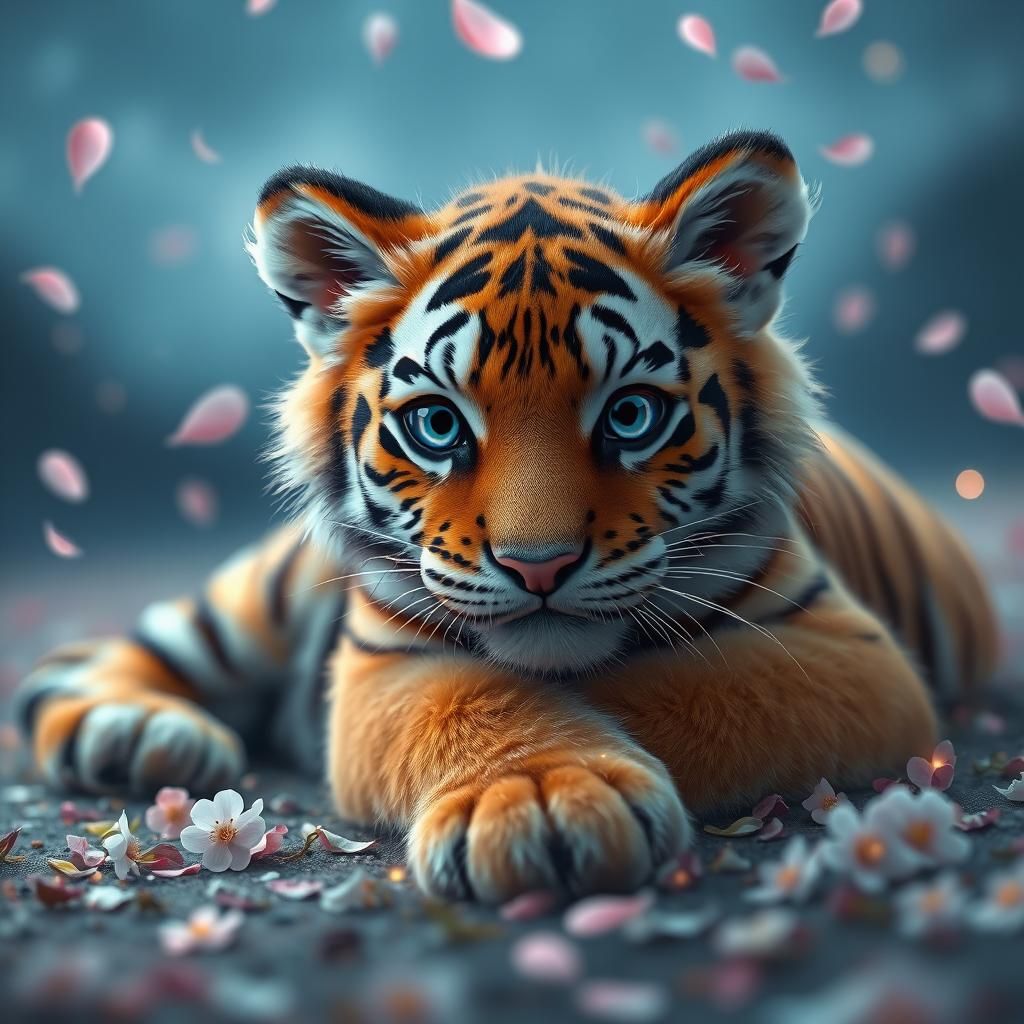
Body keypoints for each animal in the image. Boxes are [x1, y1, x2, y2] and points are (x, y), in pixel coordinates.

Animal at [15, 130, 998, 902]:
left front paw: (562, 776)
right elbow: (471, 693)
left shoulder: (849, 654)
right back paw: (144, 733)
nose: (539, 567)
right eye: (438, 425)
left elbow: (692, 683)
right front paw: (537, 796)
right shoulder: (381, 660)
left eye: (630, 416)